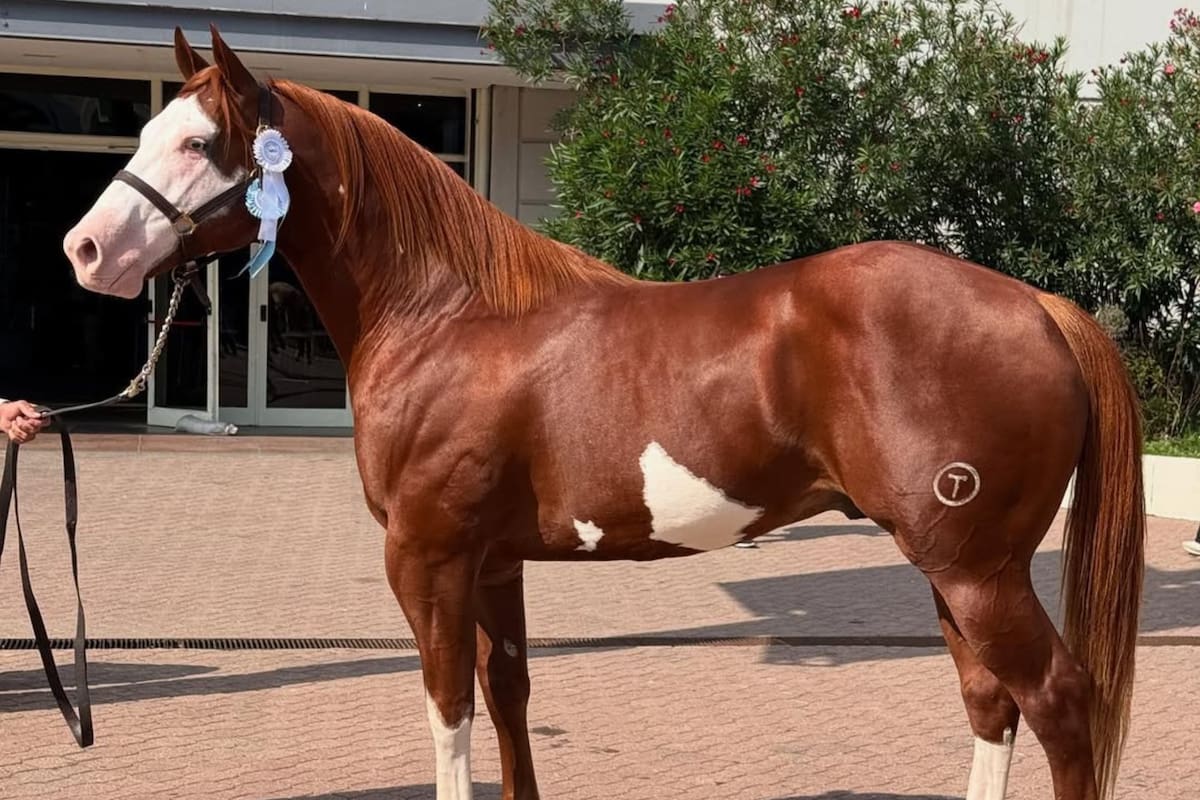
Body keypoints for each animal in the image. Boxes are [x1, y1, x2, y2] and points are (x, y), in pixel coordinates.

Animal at [62, 26, 1146, 800]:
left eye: (199, 141)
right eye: (147, 132)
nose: (84, 250)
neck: (449, 313)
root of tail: (1039, 306)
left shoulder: (426, 557)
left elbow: (448, 713)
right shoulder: (492, 562)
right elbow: (506, 701)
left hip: (977, 572)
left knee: (1056, 702)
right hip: (954, 569)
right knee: (991, 704)